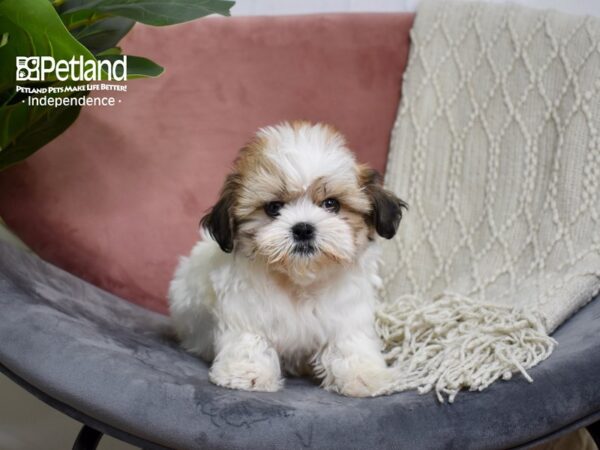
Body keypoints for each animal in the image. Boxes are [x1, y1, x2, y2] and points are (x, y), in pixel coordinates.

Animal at [166, 120, 406, 398]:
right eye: (273, 208)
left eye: (331, 204)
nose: (303, 228)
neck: (298, 280)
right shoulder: (247, 309)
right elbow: (250, 338)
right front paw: (247, 373)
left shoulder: (347, 314)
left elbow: (349, 342)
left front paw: (364, 375)